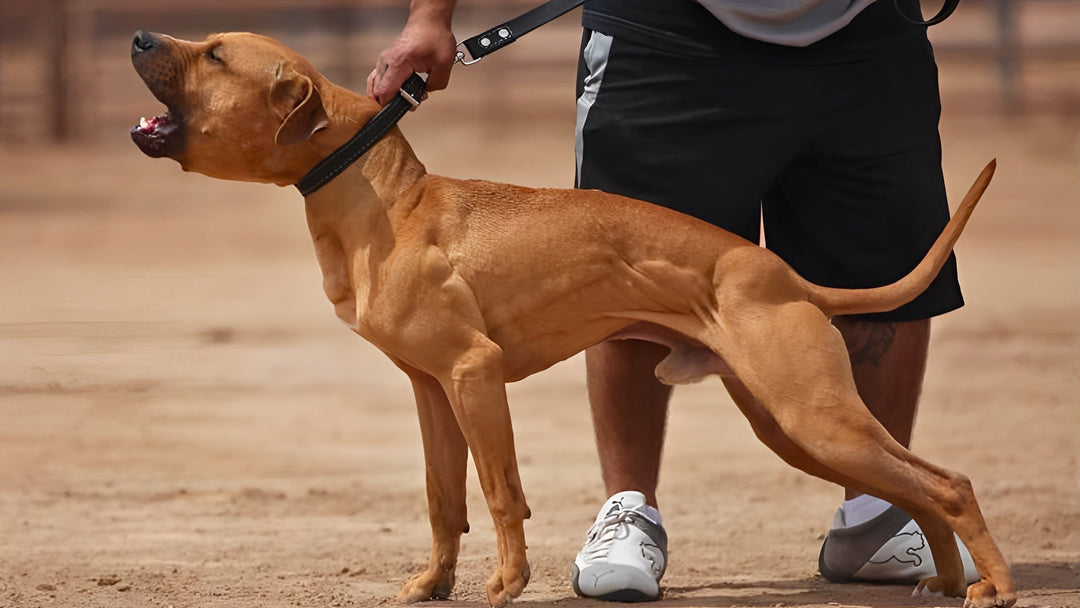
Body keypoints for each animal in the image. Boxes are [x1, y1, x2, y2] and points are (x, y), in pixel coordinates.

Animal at [130, 32, 1015, 608]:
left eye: (214, 54)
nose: (139, 33)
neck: (381, 196)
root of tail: (790, 278)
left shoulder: (474, 375)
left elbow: (499, 492)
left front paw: (507, 584)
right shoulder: (430, 390)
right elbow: (442, 499)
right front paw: (434, 583)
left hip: (816, 416)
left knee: (949, 483)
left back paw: (993, 585)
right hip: (792, 424)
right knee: (922, 490)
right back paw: (946, 580)